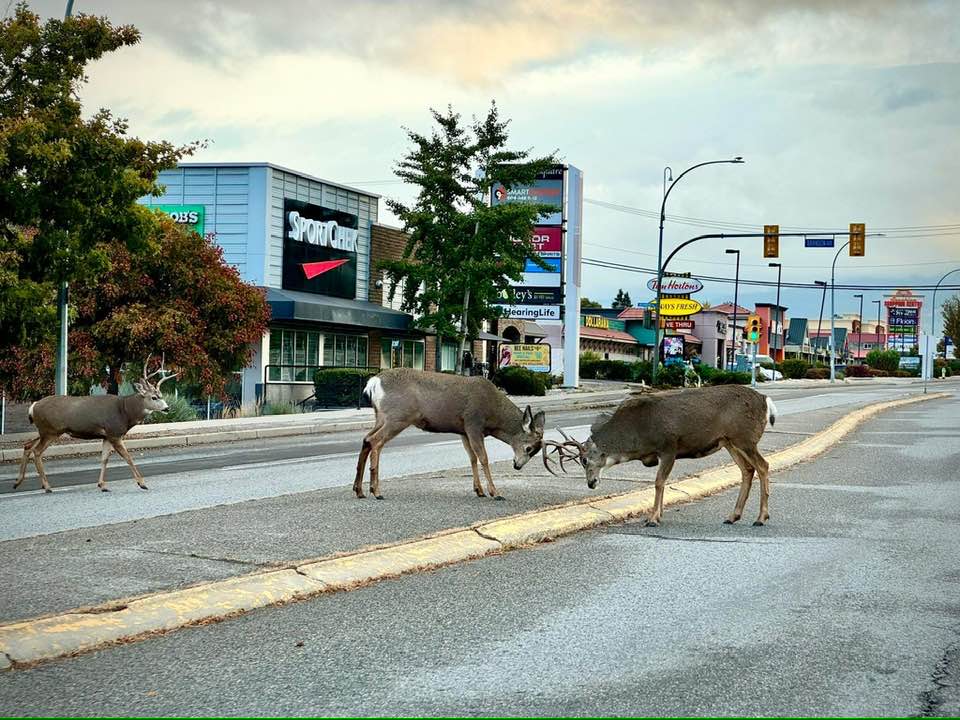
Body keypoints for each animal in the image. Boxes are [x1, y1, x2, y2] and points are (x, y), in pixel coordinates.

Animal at [15, 356, 179, 493]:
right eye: (154, 397)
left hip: (45, 430)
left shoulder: (106, 436)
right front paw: (142, 483)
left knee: (28, 445)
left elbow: (104, 459)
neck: (125, 411)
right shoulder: (114, 433)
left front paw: (102, 485)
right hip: (50, 431)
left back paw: (18, 482)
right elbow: (128, 457)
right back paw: (47, 486)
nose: (167, 408)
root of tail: (33, 406)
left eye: (161, 395)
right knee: (37, 451)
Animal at [354, 368, 546, 500]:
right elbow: (483, 457)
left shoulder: (463, 431)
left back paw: (359, 490)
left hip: (381, 416)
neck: (494, 416)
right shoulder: (473, 423)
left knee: (366, 439)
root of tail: (374, 383)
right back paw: (376, 491)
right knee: (375, 441)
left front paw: (479, 490)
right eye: (529, 448)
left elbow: (472, 458)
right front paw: (495, 492)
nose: (517, 466)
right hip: (398, 416)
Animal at [544, 384, 777, 527]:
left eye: (585, 460)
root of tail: (765, 400)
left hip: (745, 438)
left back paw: (761, 518)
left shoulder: (669, 446)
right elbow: (662, 483)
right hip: (730, 442)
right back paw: (733, 516)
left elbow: (658, 482)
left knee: (763, 465)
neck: (637, 435)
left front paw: (653, 518)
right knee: (748, 470)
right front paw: (660, 514)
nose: (591, 483)